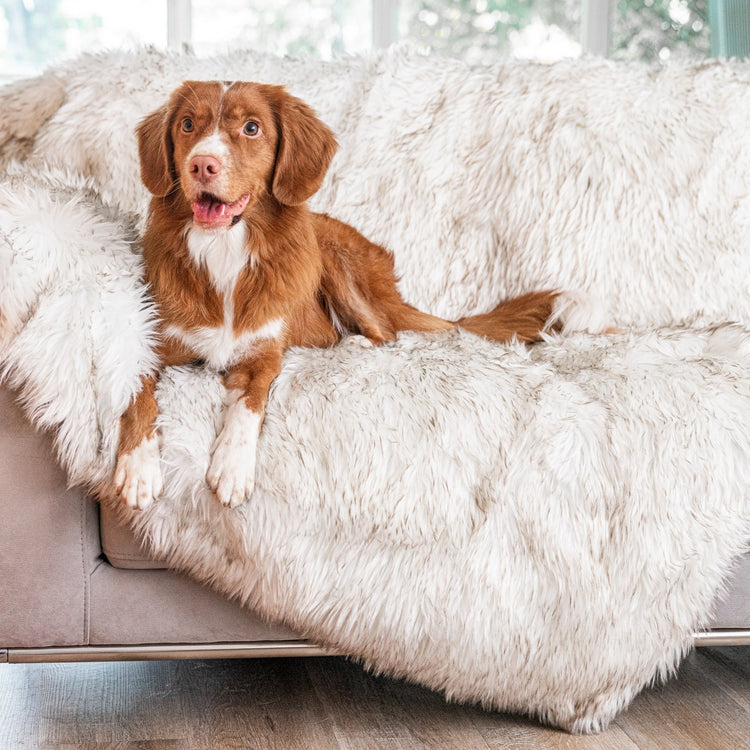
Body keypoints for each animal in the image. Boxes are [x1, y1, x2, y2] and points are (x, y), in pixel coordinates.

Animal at [114, 82, 568, 516]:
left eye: (251, 128)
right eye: (188, 124)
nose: (202, 164)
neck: (223, 251)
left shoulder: (265, 354)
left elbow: (248, 406)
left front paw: (232, 468)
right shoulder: (151, 344)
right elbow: (136, 395)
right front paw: (138, 468)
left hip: (334, 257)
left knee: (387, 332)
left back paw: (353, 344)